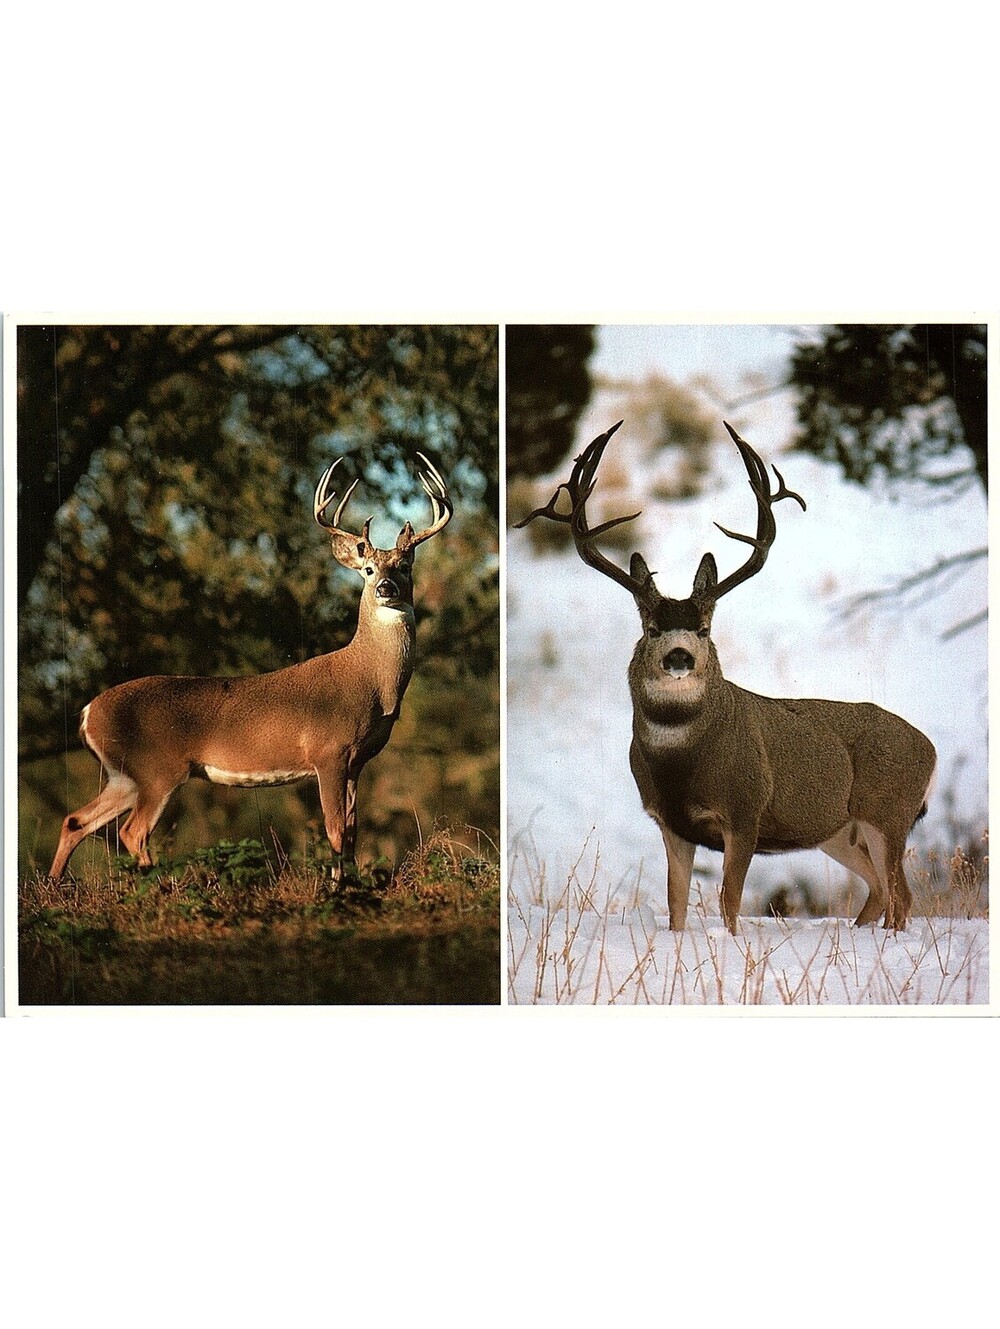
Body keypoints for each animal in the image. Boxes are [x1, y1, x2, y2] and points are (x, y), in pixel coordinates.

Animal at [48, 452, 453, 885]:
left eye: (405, 566)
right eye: (368, 570)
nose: (385, 589)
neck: (371, 683)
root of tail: (88, 713)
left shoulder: (357, 760)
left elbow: (353, 829)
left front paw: (353, 884)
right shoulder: (329, 751)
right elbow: (334, 829)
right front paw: (336, 888)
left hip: (124, 774)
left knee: (76, 820)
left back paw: (57, 886)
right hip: (157, 768)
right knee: (131, 831)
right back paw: (160, 889)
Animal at [516, 420, 936, 935]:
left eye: (703, 628)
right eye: (651, 628)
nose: (679, 656)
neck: (683, 760)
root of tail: (930, 748)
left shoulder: (745, 812)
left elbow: (729, 903)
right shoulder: (670, 823)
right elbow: (676, 905)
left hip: (887, 812)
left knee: (902, 895)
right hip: (839, 830)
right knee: (880, 889)